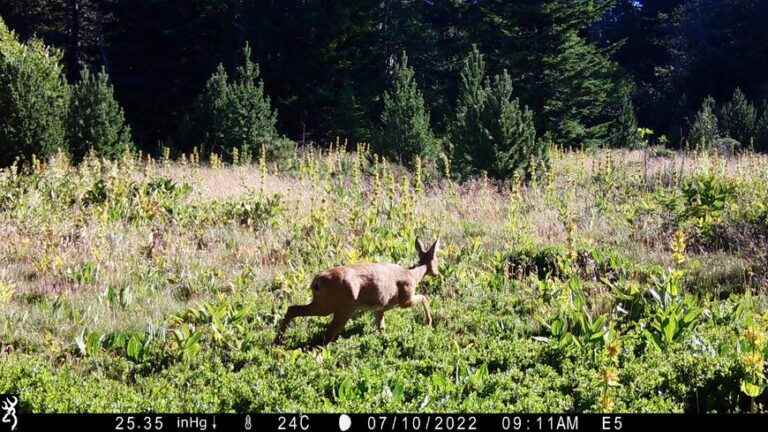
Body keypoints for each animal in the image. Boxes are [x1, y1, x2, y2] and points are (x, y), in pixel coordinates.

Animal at [272, 238, 440, 346]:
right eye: (437, 261)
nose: (437, 273)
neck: (413, 275)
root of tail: (317, 282)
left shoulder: (380, 307)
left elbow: (381, 326)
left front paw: (383, 339)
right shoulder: (405, 298)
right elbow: (424, 297)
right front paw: (429, 322)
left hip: (323, 303)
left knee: (292, 309)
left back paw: (278, 341)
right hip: (340, 307)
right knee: (328, 331)